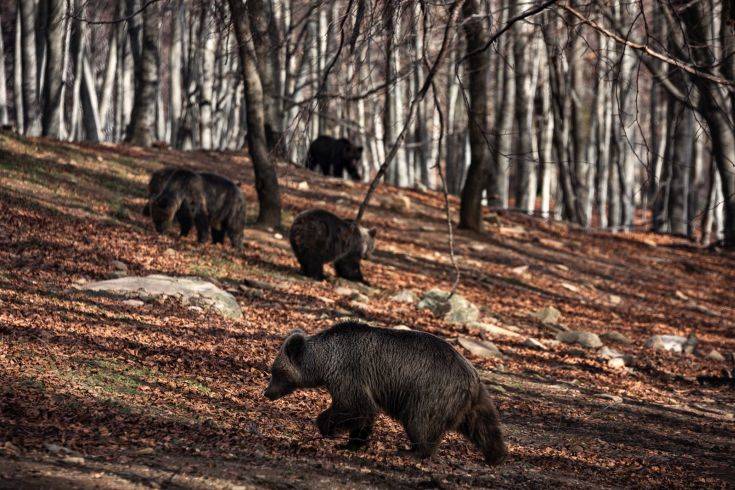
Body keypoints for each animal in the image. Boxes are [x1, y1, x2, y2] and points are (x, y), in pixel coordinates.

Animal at [262, 322, 508, 468]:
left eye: (275, 371)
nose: (267, 393)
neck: (324, 361)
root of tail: (471, 376)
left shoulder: (348, 372)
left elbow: (355, 406)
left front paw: (327, 427)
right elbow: (364, 414)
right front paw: (352, 443)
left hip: (430, 393)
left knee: (420, 423)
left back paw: (413, 451)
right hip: (474, 400)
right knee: (485, 426)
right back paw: (496, 456)